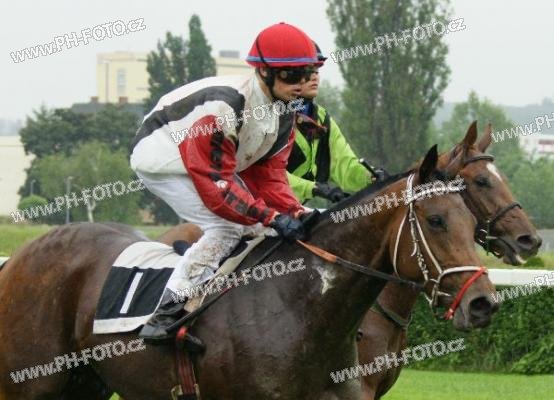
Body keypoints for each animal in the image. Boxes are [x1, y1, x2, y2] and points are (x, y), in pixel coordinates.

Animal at [0, 146, 498, 399]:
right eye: (436, 220)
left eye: (471, 219)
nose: (483, 303)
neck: (300, 308)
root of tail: (19, 258)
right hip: (29, 385)